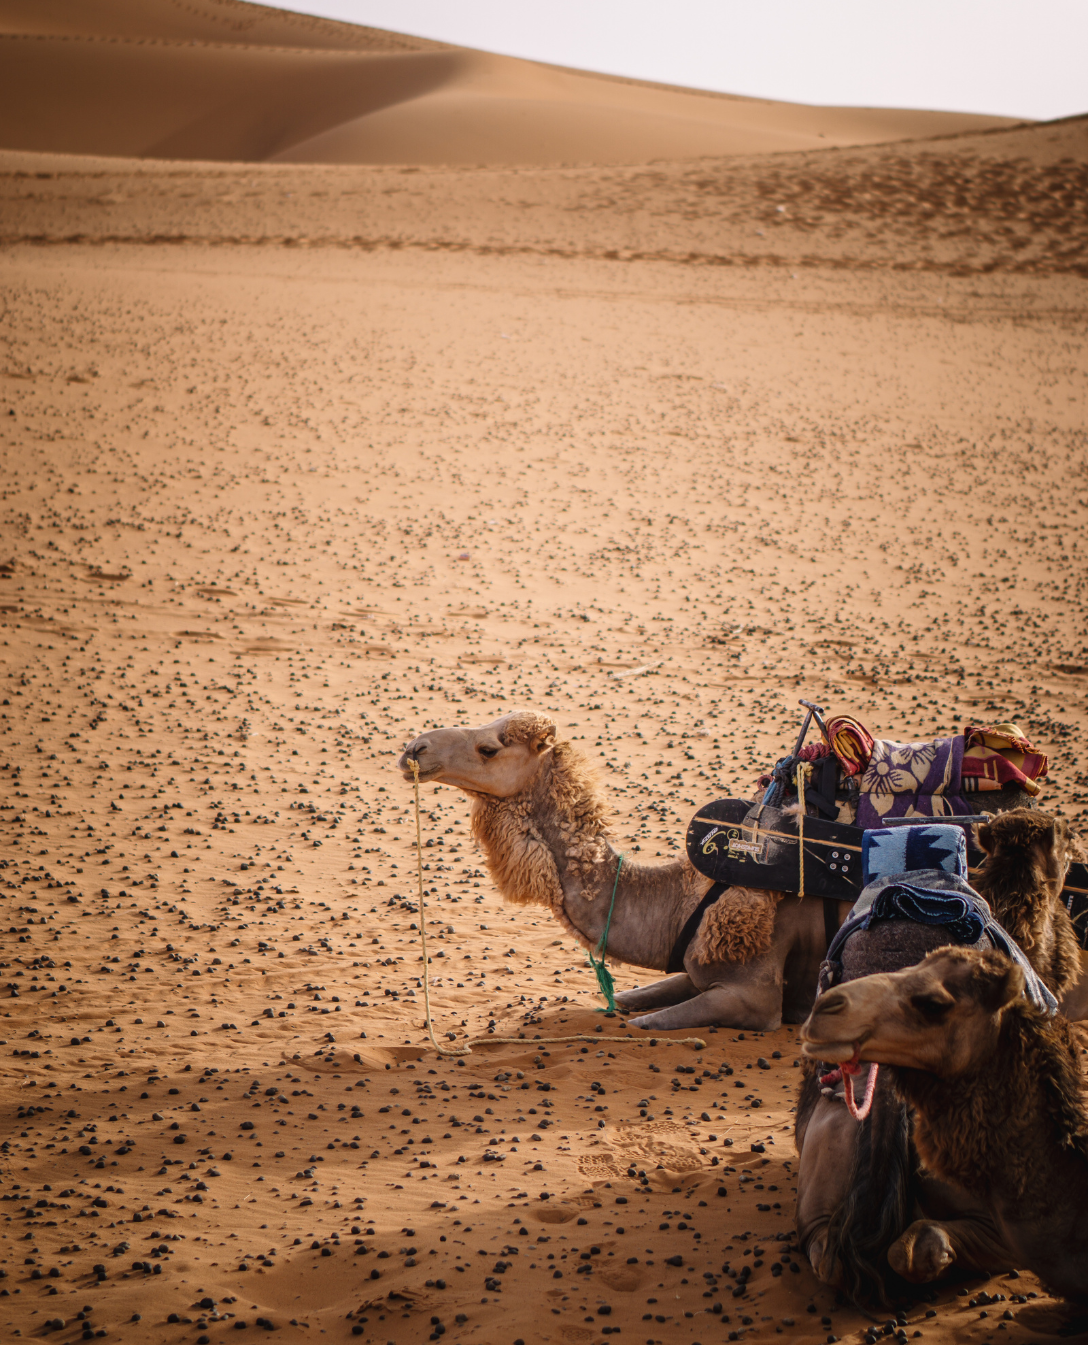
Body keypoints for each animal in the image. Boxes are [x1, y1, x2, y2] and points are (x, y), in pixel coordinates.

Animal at [397, 709, 839, 1031]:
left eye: (488, 749)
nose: (414, 749)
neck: (681, 899)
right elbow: (629, 999)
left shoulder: (754, 996)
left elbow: (644, 1022)